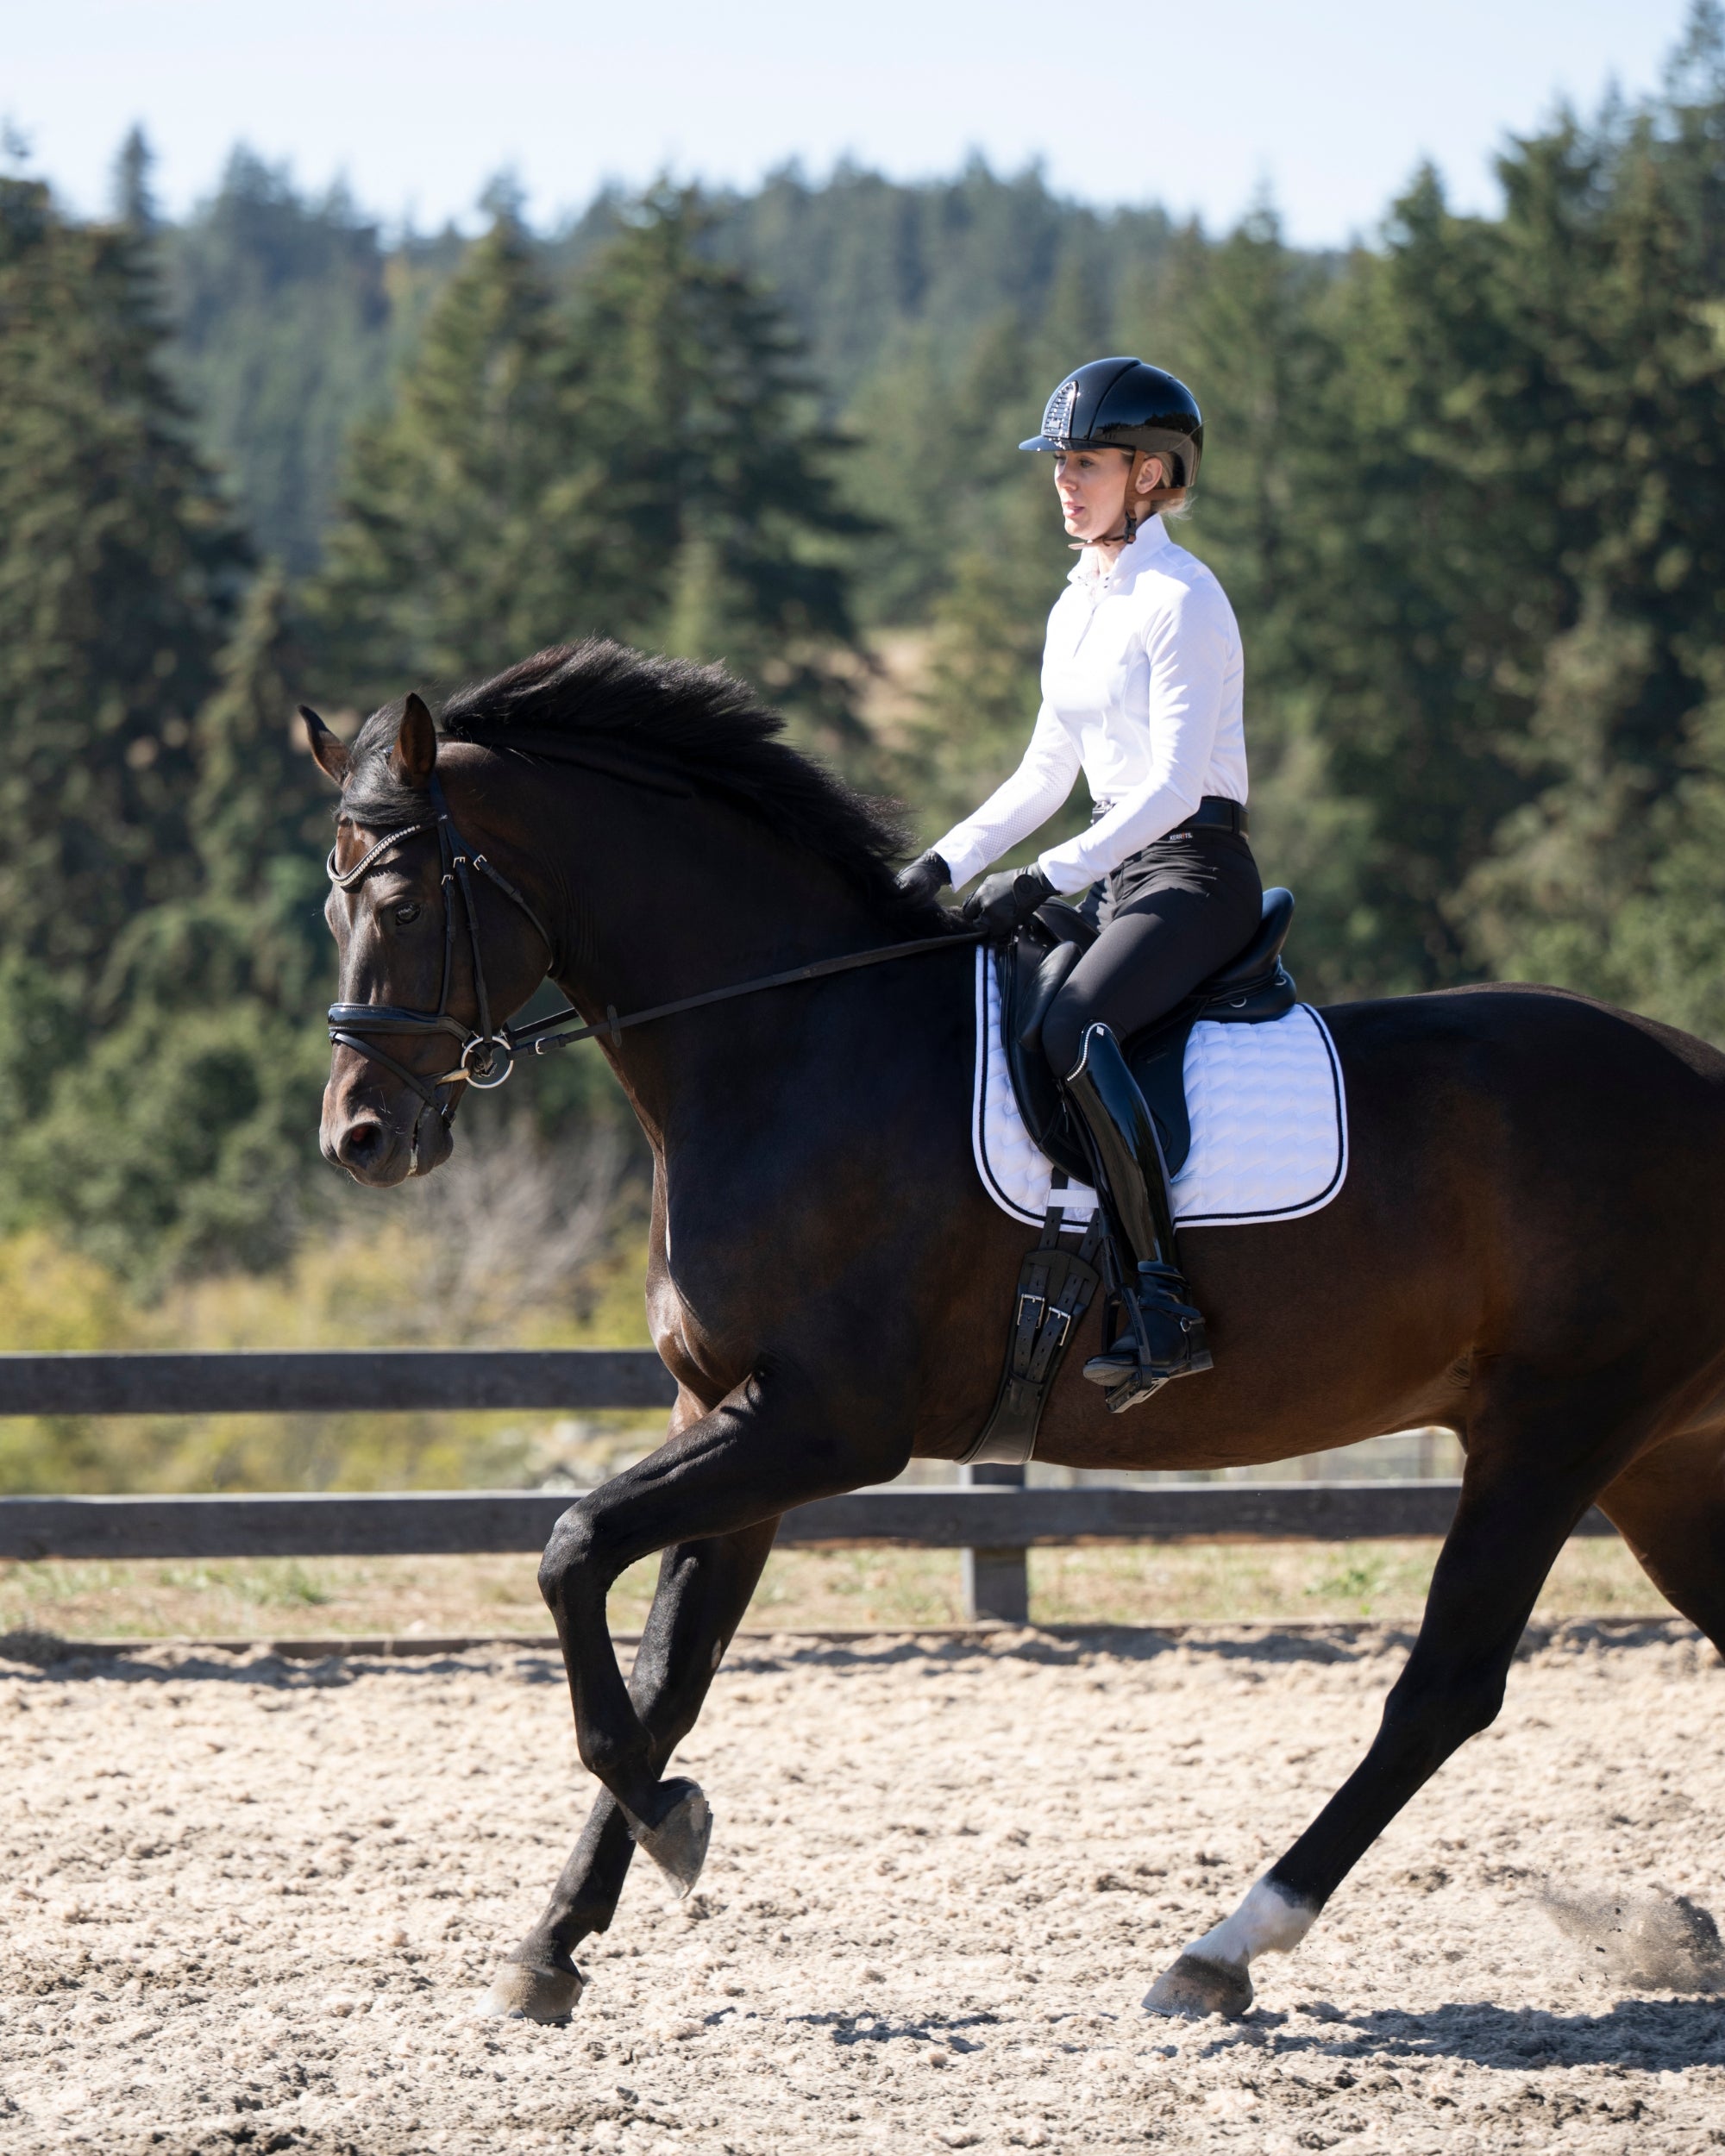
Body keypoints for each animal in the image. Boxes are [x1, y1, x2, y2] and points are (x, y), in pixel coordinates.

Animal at [307, 638, 1725, 2026]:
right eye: (334, 911)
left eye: (404, 905)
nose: (360, 1139)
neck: (790, 1044)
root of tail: (1700, 1079)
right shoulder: (725, 1417)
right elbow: (664, 1672)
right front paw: (555, 1941)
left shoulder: (824, 1424)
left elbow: (572, 1552)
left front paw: (667, 1824)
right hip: (1657, 1460)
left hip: (1554, 1434)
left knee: (1444, 1687)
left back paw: (1219, 1952)